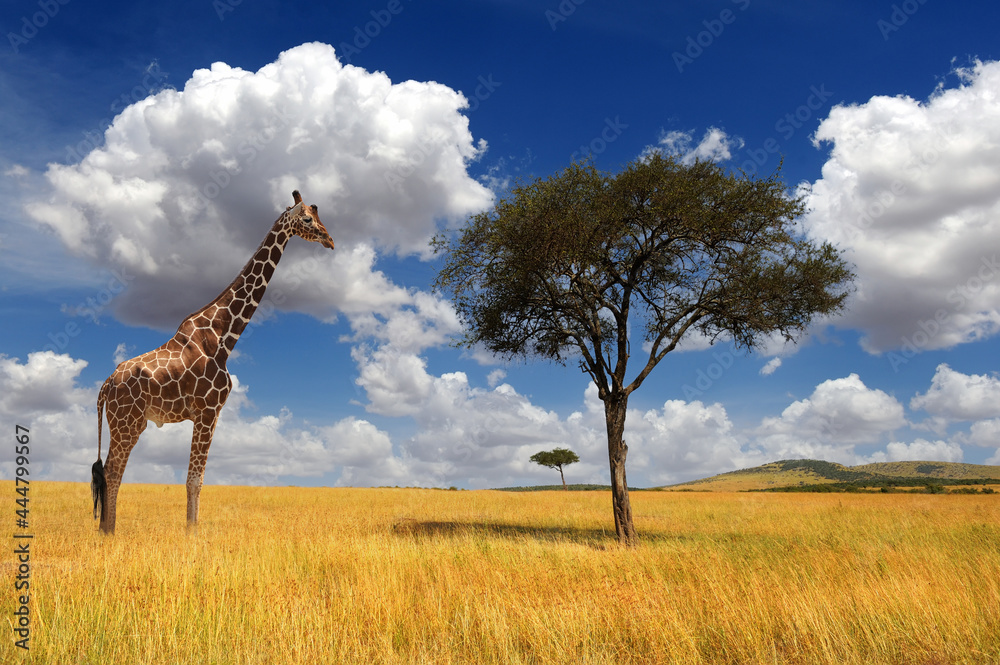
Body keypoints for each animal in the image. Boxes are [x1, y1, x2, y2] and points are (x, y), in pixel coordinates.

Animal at [91, 190, 334, 534]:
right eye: (309, 220)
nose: (330, 240)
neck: (223, 335)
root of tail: (104, 386)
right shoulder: (206, 410)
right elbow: (194, 480)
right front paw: (192, 534)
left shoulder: (213, 414)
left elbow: (198, 479)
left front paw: (191, 531)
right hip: (129, 421)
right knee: (113, 471)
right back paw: (110, 534)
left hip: (123, 422)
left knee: (109, 470)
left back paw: (105, 531)